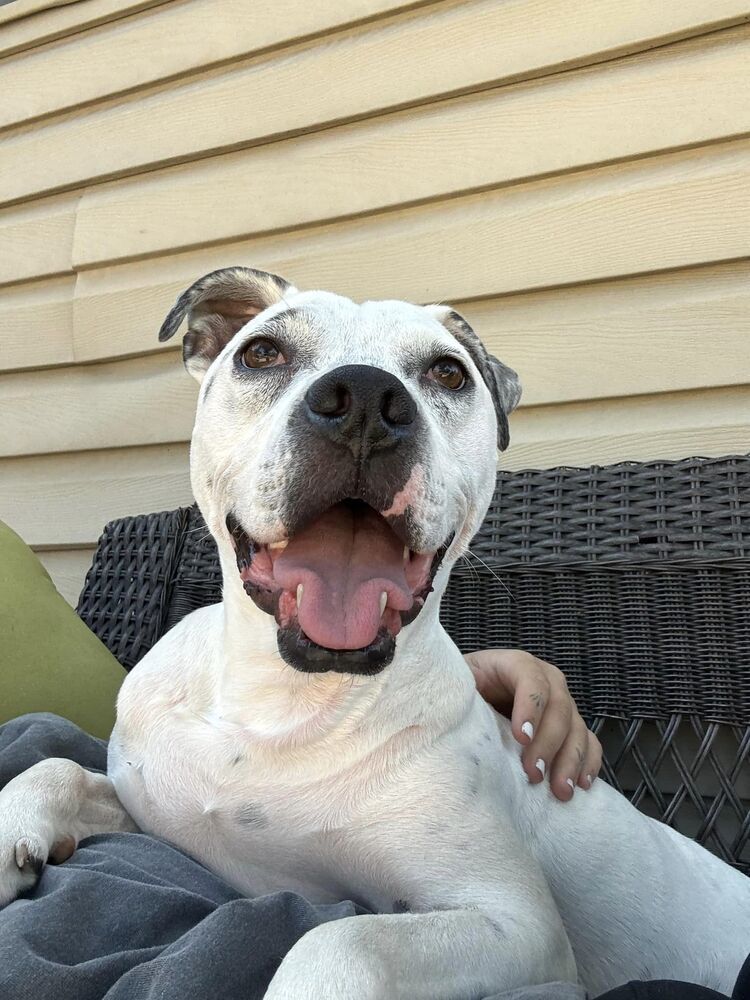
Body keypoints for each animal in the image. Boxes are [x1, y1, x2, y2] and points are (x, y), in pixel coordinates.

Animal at [0, 268, 748, 1000]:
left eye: (448, 373)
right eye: (261, 353)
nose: (363, 399)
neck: (281, 701)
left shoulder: (518, 926)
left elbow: (342, 939)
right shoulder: (151, 811)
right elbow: (59, 767)